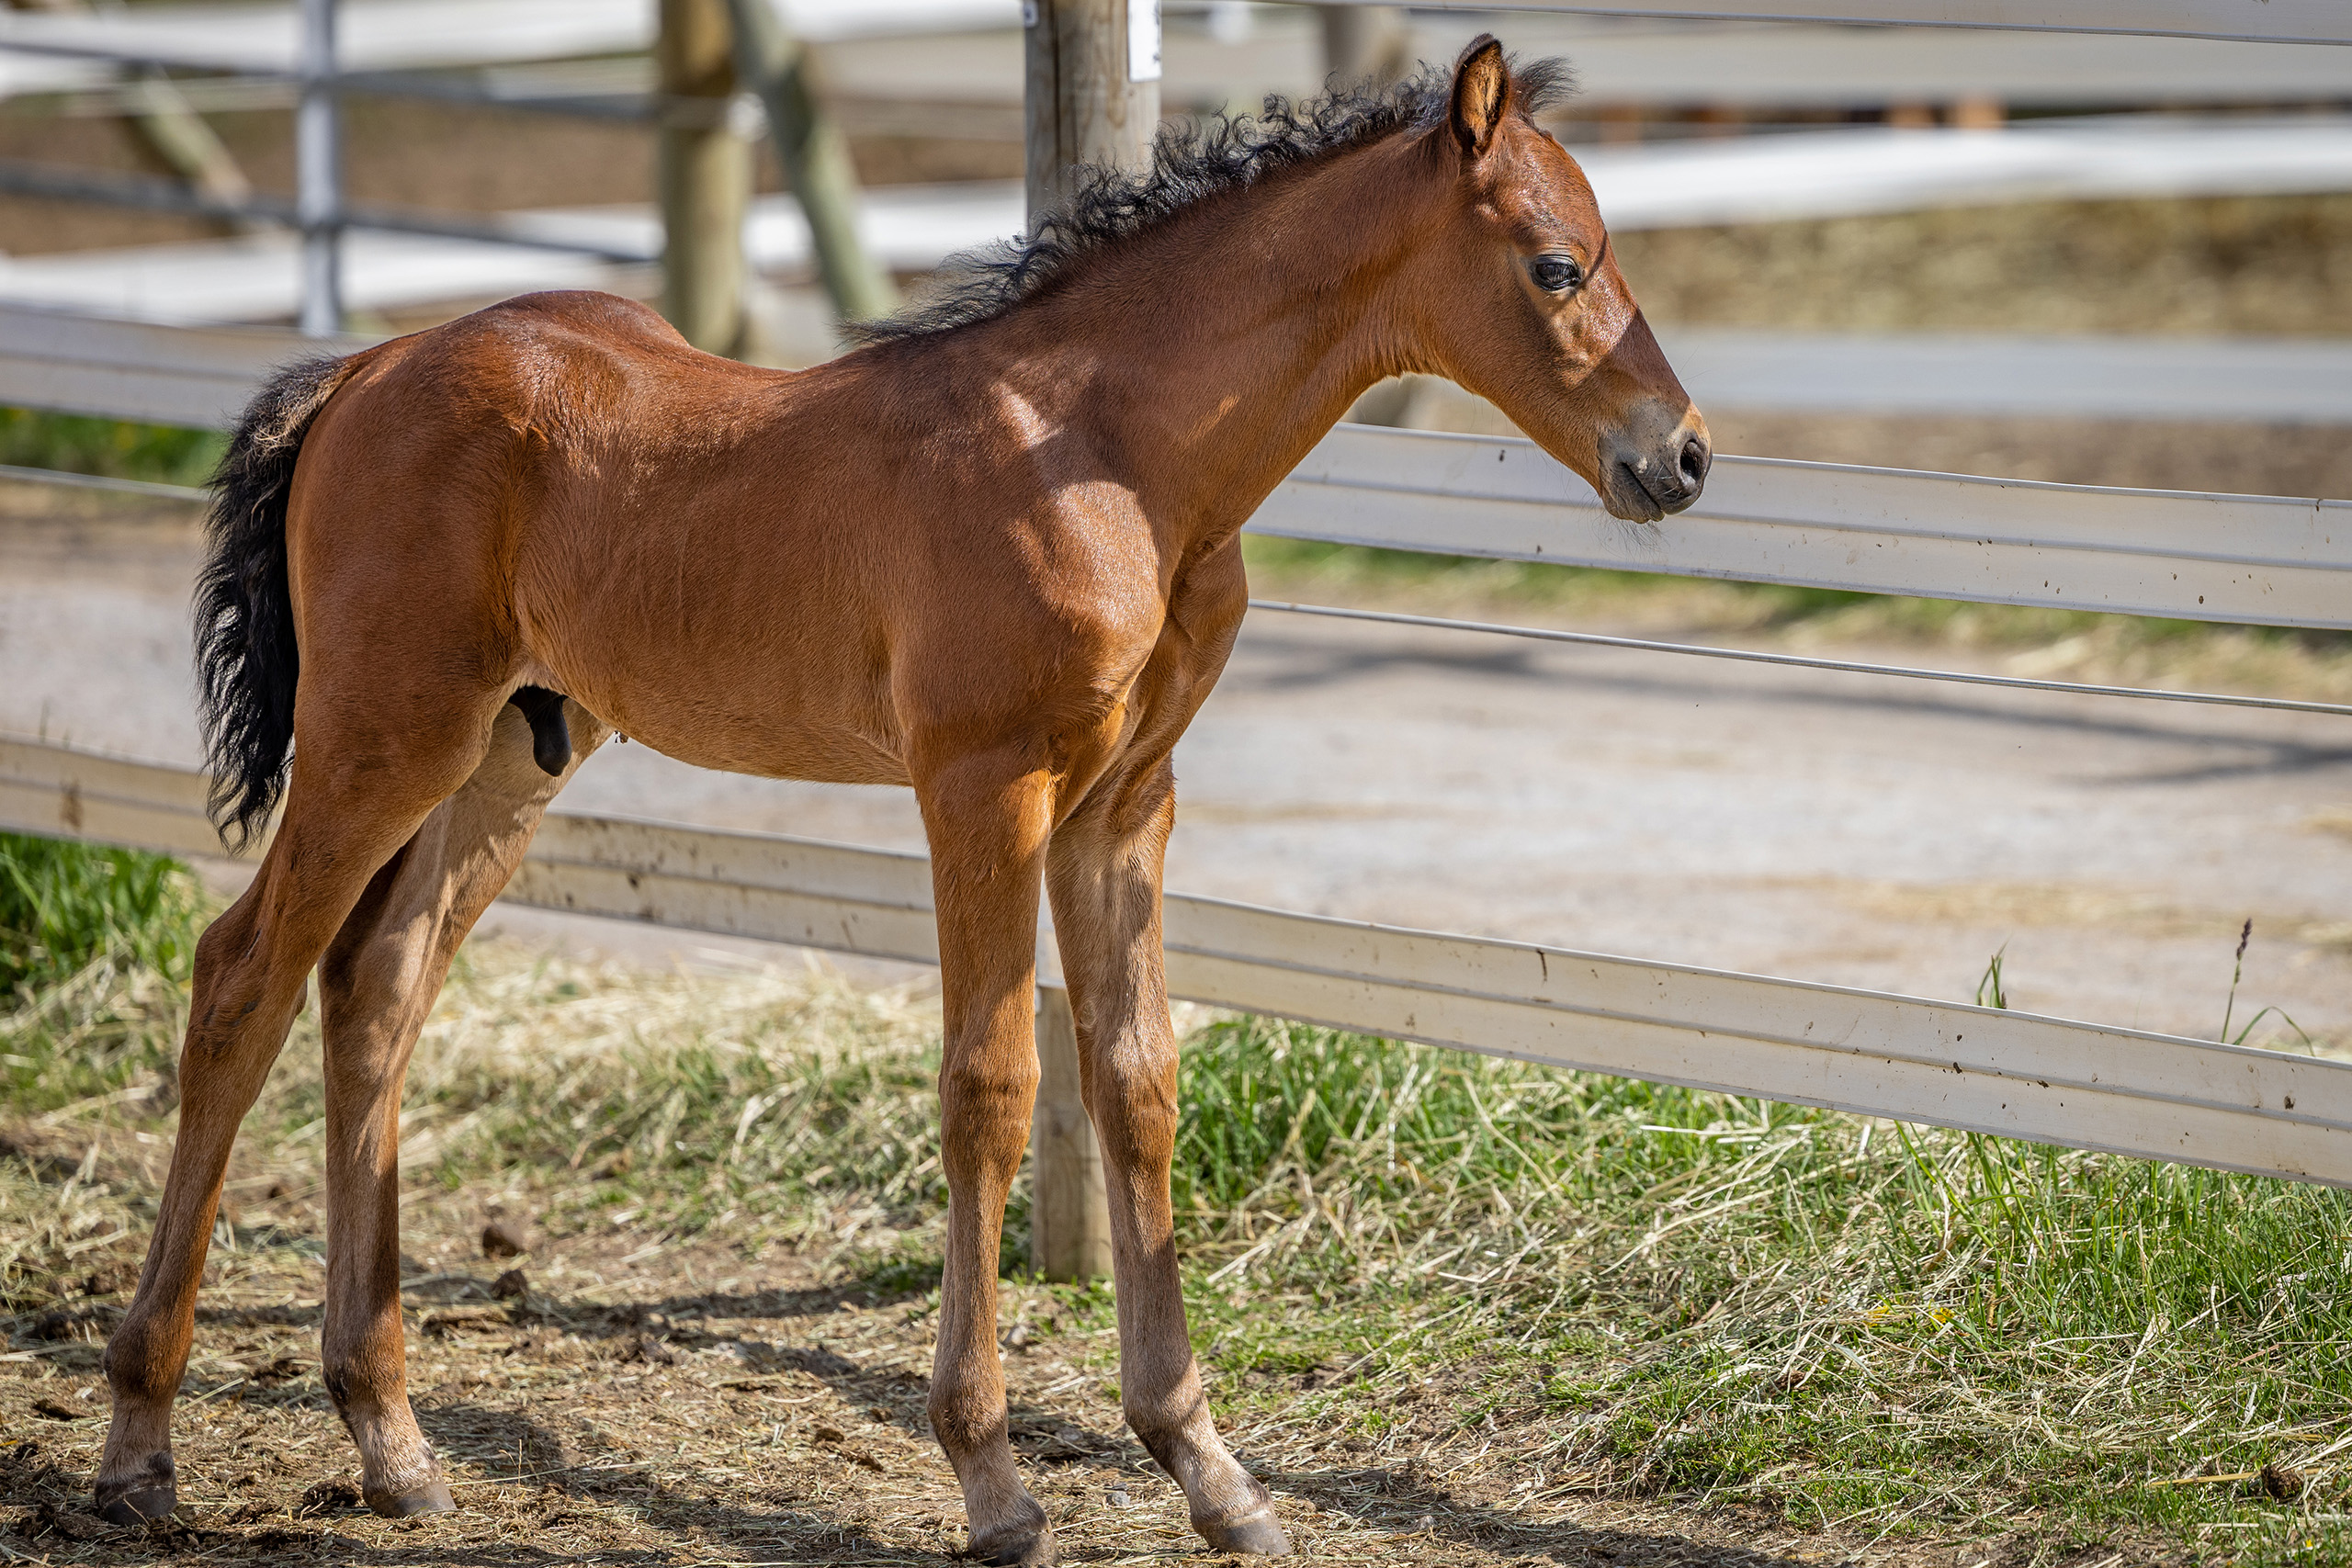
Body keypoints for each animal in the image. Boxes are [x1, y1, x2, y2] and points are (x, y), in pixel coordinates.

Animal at [101, 39, 1712, 1568]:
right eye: (1557, 262)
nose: (1682, 455)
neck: (1112, 452)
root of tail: (360, 372)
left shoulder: (1126, 802)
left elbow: (1137, 1079)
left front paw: (1210, 1470)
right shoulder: (984, 785)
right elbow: (990, 1086)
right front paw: (992, 1476)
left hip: (509, 750)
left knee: (374, 986)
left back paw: (390, 1437)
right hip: (382, 738)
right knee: (240, 977)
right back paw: (139, 1441)